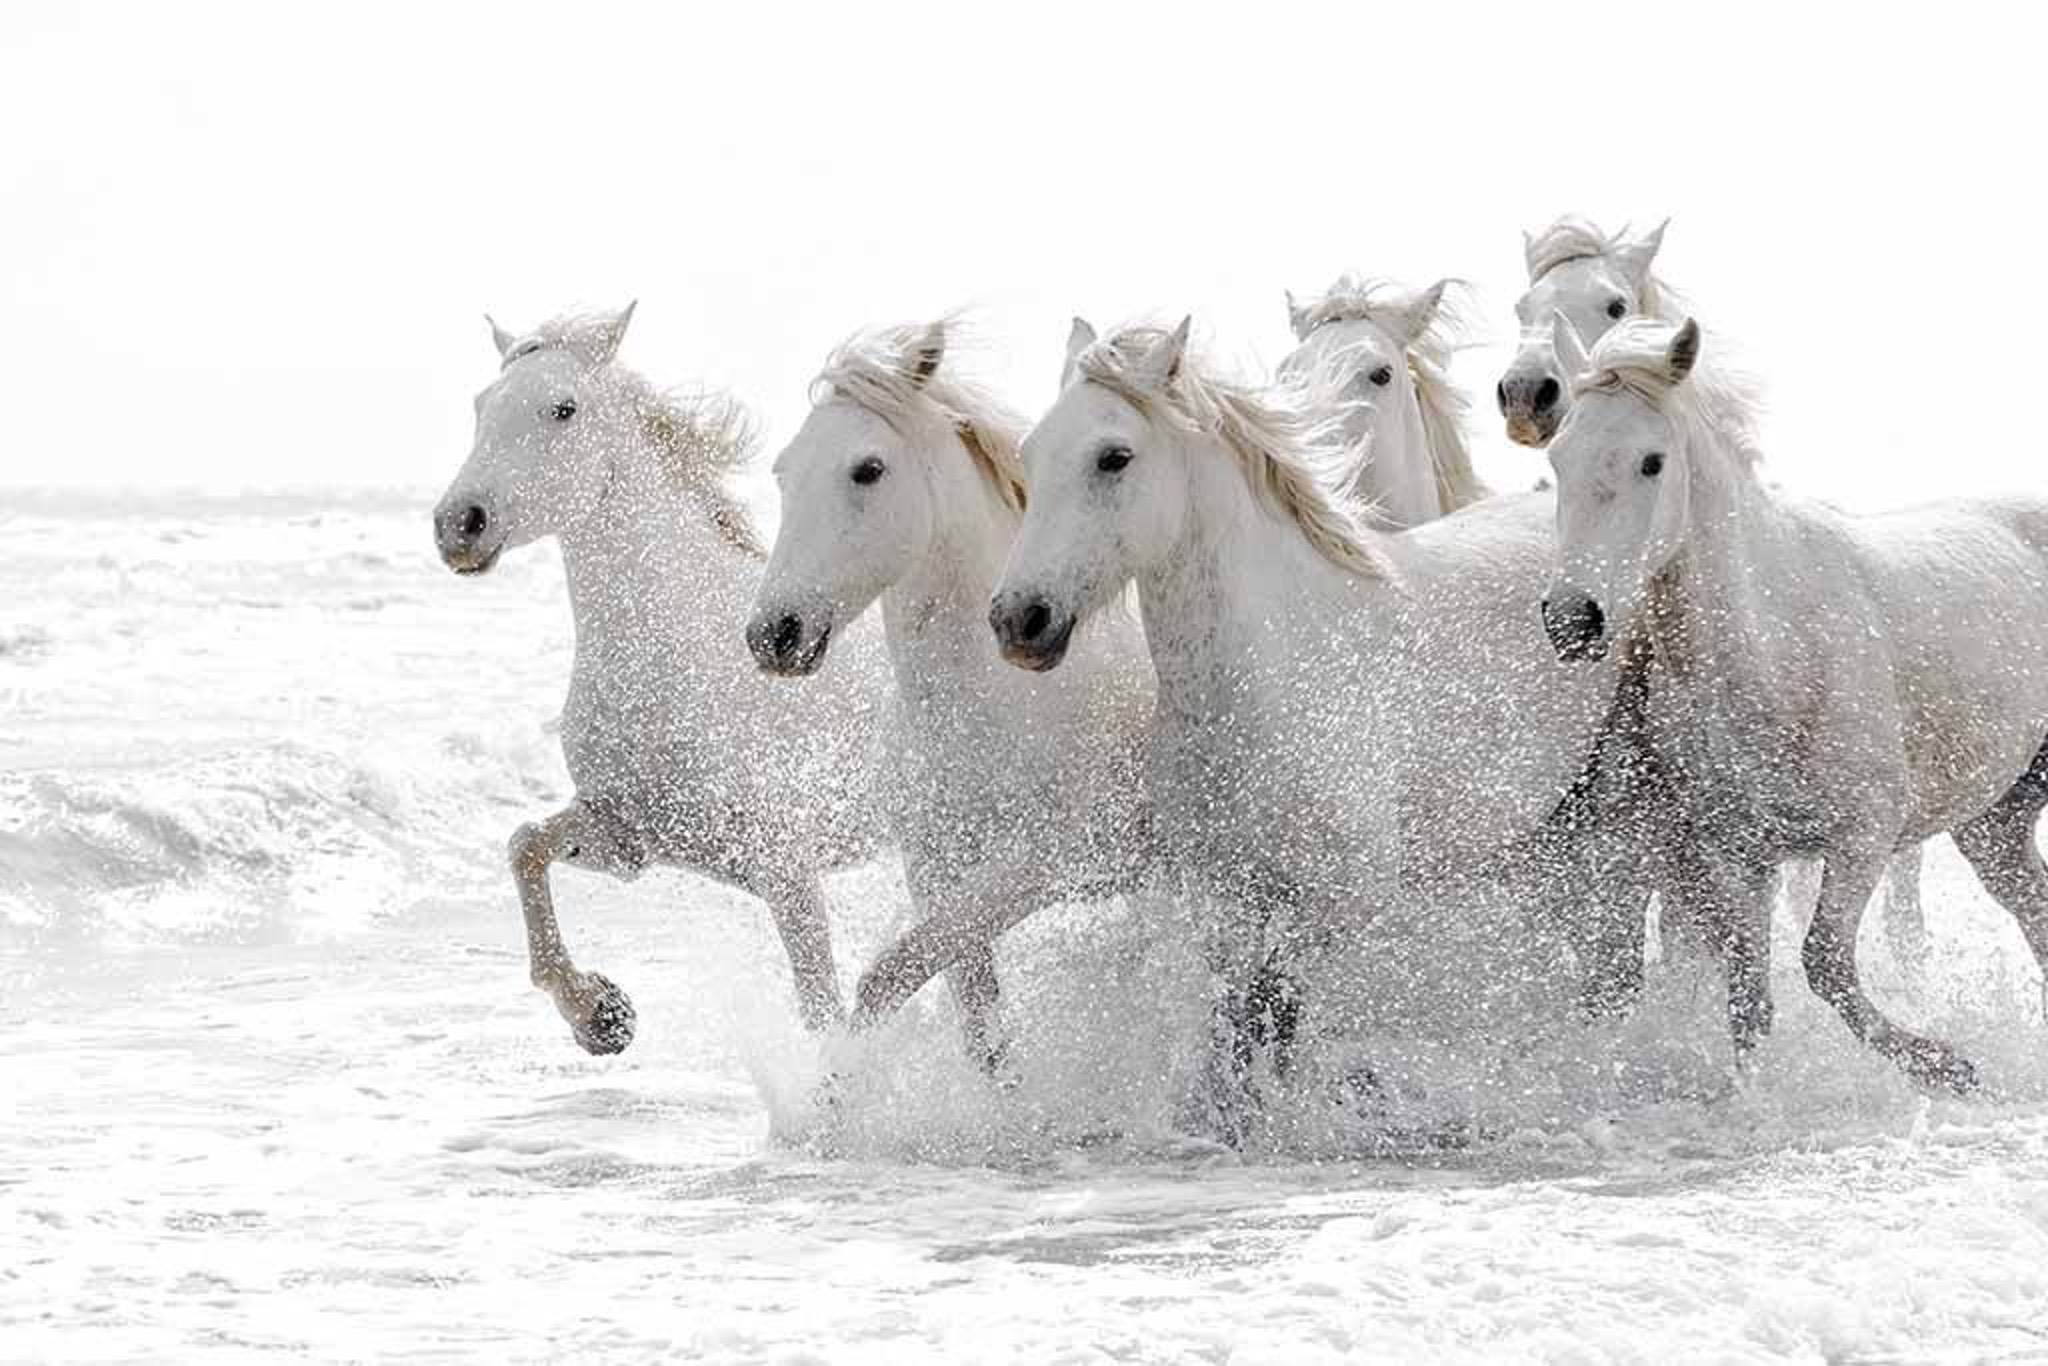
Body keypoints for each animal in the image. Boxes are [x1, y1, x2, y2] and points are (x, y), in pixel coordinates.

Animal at [432, 304, 892, 1055]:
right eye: (481, 405)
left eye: (563, 408)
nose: (459, 526)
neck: (666, 654)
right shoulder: (629, 835)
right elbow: (525, 846)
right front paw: (601, 1015)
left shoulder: (789, 872)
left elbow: (824, 1010)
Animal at [746, 319, 1153, 1071]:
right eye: (784, 472)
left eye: (868, 469)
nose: (774, 634)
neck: (980, 705)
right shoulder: (935, 866)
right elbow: (977, 1020)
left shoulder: (1038, 866)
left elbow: (889, 975)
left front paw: (842, 1083)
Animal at [988, 317, 1651, 1132]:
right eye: (1031, 455)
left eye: (1114, 457)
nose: (1019, 620)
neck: (1275, 675)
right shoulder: (1224, 902)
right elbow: (1234, 1032)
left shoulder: (1336, 909)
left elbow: (1279, 1020)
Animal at [1541, 313, 2048, 1091]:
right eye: (1559, 458)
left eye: (1652, 462)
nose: (1572, 620)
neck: (1775, 657)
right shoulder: (1741, 857)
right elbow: (1750, 996)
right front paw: (1752, 1098)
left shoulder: (1863, 838)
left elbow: (1825, 962)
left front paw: (1946, 1066)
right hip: (1998, 823)